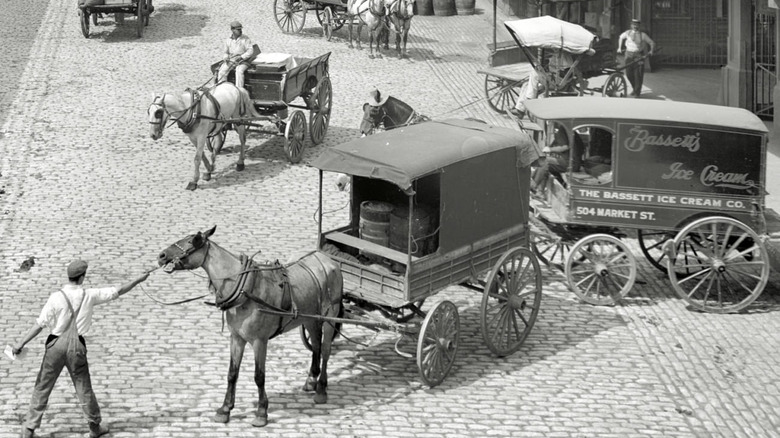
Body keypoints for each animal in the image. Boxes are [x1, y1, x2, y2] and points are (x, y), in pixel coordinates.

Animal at [157, 228, 342, 426]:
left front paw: (261, 412)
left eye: (193, 241)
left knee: (325, 350)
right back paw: (311, 379)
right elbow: (232, 373)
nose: (162, 255)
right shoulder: (237, 338)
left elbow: (259, 376)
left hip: (330, 316)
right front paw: (225, 409)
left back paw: (321, 389)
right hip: (309, 318)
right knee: (316, 344)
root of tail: (329, 261)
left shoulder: (260, 341)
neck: (245, 290)